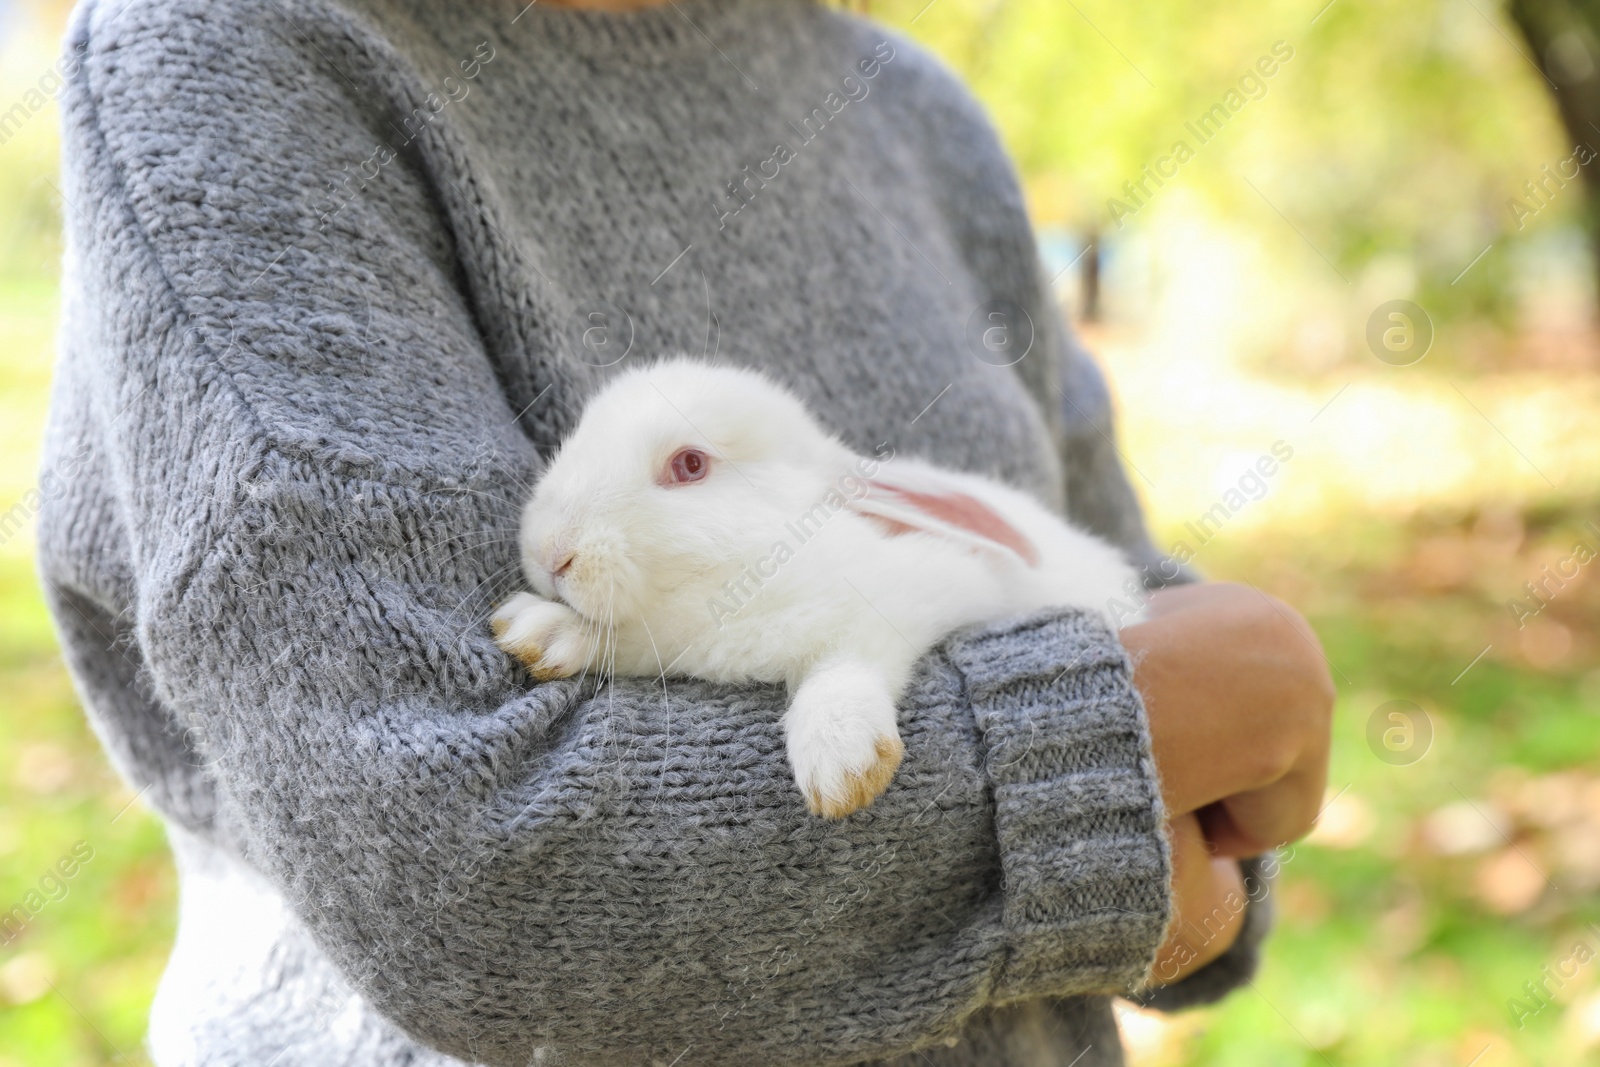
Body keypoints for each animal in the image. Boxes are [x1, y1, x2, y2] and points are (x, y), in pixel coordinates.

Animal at [492, 358, 1145, 819]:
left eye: (690, 465)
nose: (551, 549)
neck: (750, 571)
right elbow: (627, 641)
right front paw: (536, 630)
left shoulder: (912, 599)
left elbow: (847, 665)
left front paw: (842, 766)